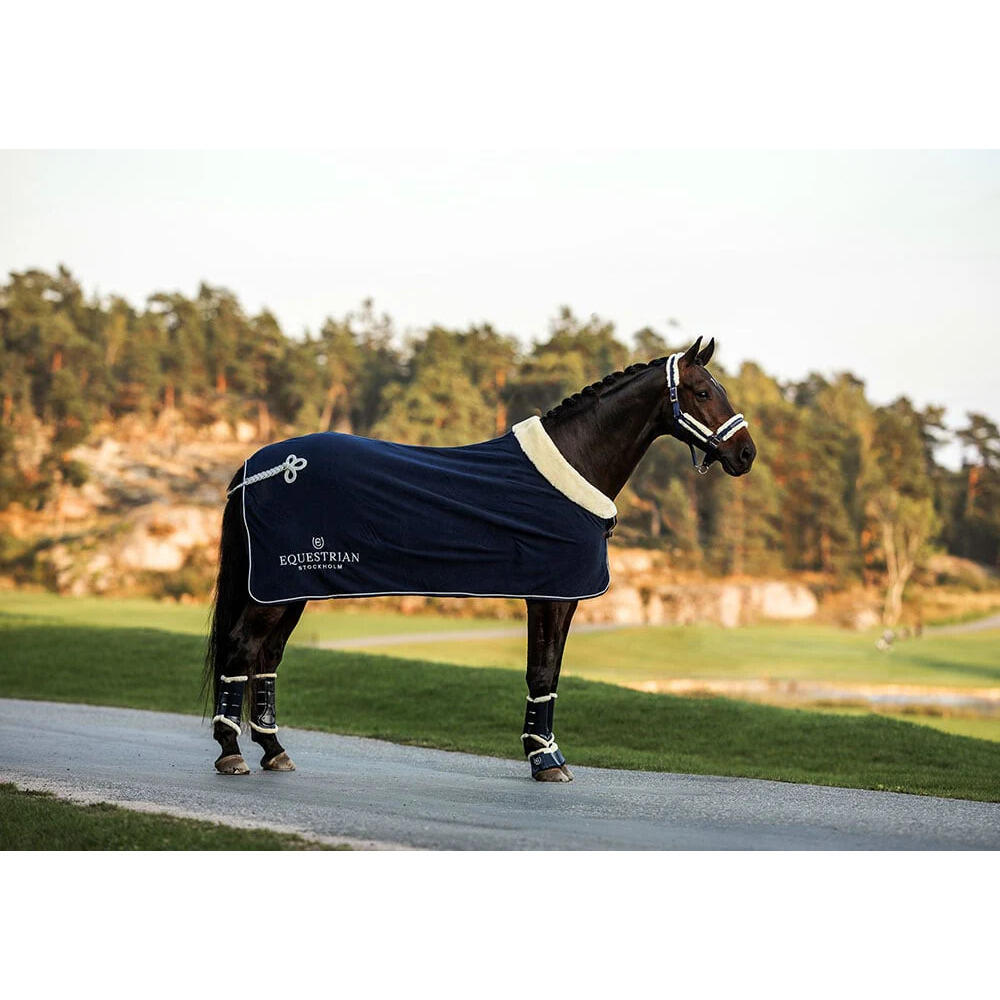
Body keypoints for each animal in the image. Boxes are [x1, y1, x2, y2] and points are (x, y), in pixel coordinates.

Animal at [204, 336, 756, 781]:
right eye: (703, 392)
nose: (746, 454)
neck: (573, 465)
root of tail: (256, 467)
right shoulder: (552, 595)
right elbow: (543, 672)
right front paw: (545, 760)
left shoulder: (556, 595)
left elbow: (548, 674)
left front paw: (544, 752)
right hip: (276, 590)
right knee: (241, 648)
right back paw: (231, 752)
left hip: (288, 587)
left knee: (266, 658)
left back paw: (274, 750)